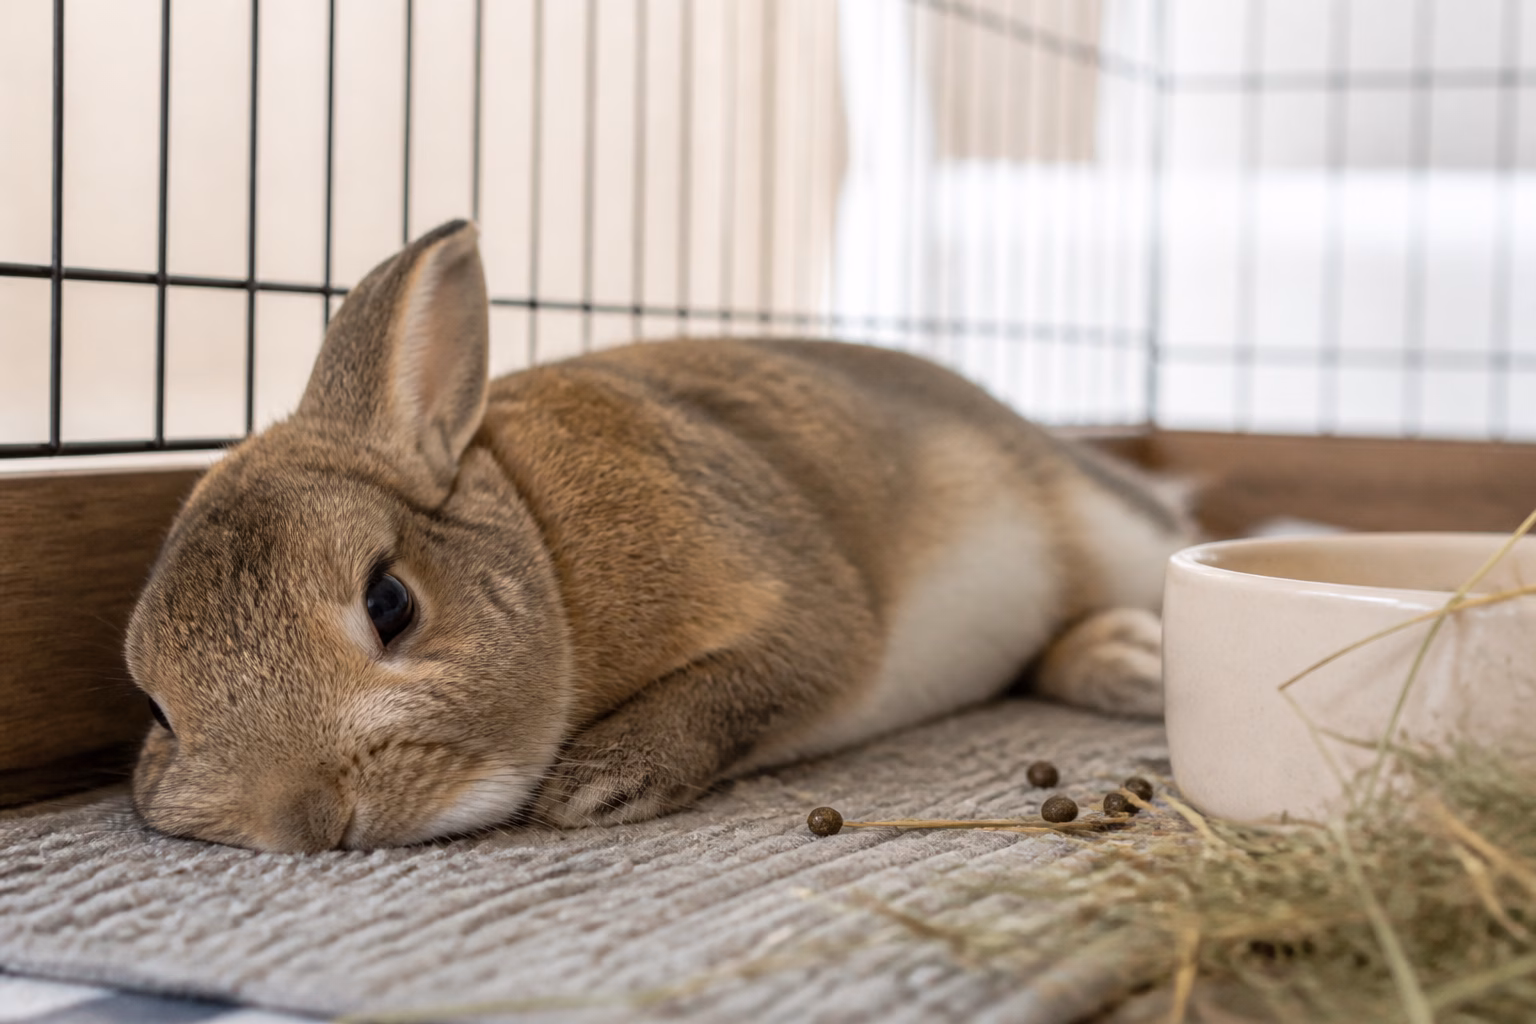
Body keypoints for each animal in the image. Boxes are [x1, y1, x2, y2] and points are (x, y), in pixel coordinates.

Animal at [126, 220, 1195, 853]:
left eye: (389, 603)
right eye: (159, 708)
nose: (304, 816)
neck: (543, 547)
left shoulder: (806, 615)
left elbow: (754, 679)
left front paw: (600, 786)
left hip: (1113, 529)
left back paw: (1140, 660)